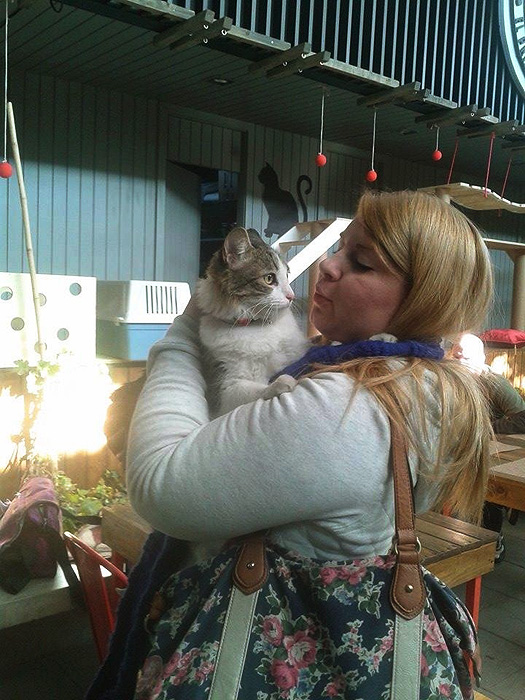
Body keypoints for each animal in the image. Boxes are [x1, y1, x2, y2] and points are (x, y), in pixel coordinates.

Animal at [196, 226, 312, 416]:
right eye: (269, 278)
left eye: (287, 275)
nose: (292, 296)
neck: (257, 325)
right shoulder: (226, 387)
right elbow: (255, 390)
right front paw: (280, 384)